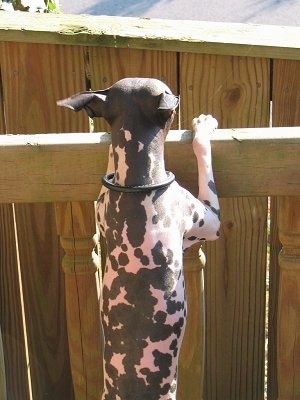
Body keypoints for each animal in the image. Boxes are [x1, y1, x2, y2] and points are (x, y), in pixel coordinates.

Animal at [57, 76, 220, 398]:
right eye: (171, 94)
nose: (177, 97)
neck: (135, 183)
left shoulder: (103, 202)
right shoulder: (209, 221)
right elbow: (204, 160)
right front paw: (203, 130)